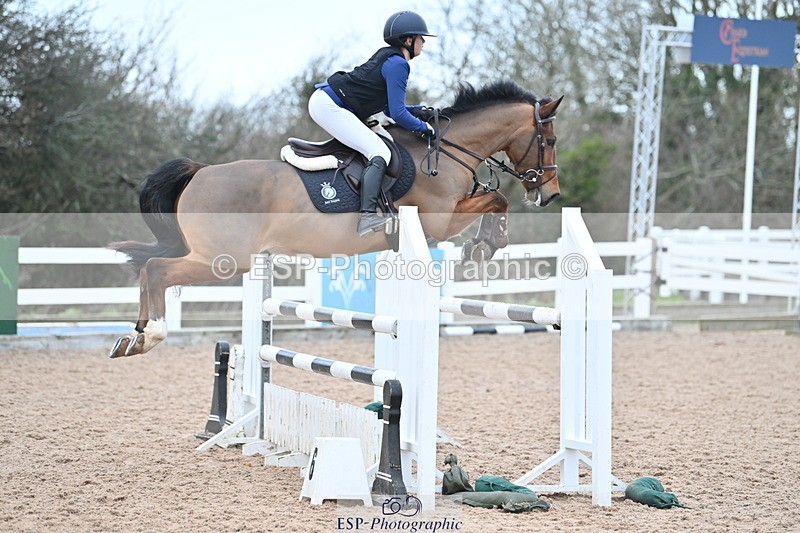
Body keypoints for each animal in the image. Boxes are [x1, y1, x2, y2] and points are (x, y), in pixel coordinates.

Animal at [108, 79, 562, 358]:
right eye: (551, 140)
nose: (551, 194)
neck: (446, 149)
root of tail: (199, 171)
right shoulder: (438, 222)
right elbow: (497, 199)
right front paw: (484, 246)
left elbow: (494, 199)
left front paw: (483, 245)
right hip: (223, 260)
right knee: (156, 269)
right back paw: (150, 336)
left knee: (149, 269)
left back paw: (132, 337)